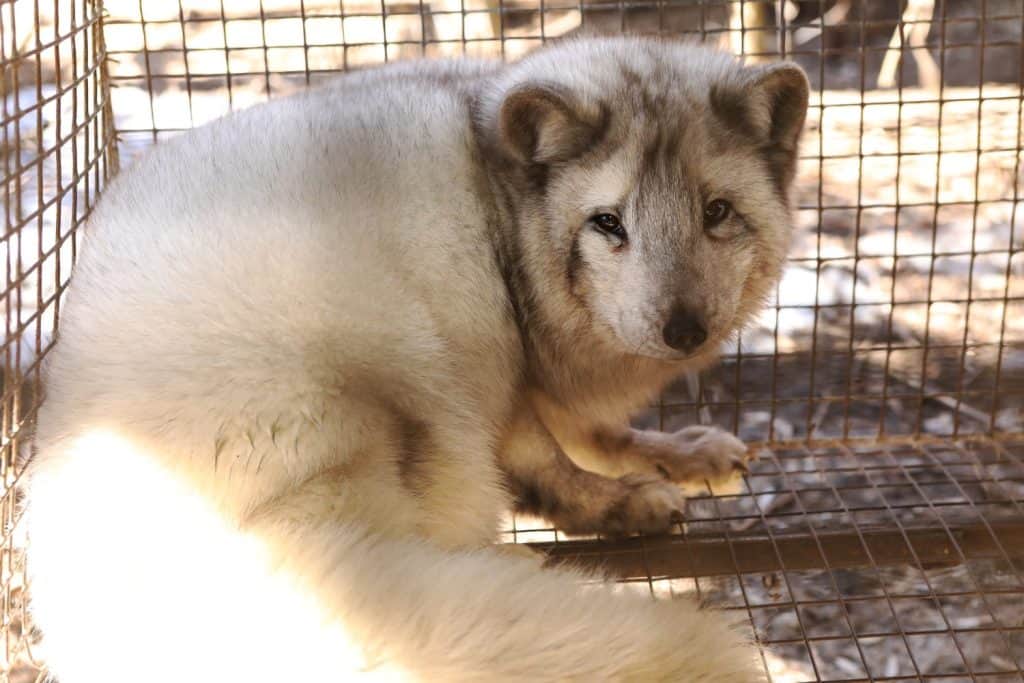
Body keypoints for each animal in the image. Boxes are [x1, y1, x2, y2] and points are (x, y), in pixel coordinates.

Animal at [24, 36, 808, 681]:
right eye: (608, 223)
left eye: (716, 212)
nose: (684, 329)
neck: (501, 206)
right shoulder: (500, 357)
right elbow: (548, 457)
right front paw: (617, 499)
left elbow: (598, 433)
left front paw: (679, 451)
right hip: (411, 378)